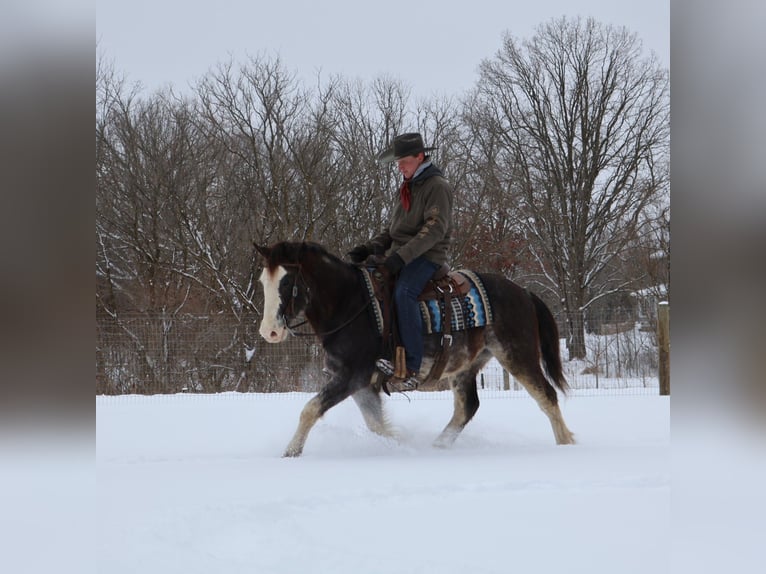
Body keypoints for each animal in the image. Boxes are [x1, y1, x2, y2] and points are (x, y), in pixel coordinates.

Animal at [255, 241, 575, 457]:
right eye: (263, 281)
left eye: (287, 282)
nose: (269, 331)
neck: (350, 304)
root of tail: (523, 292)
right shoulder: (360, 385)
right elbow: (377, 424)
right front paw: (398, 445)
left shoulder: (352, 377)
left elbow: (309, 410)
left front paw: (291, 452)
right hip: (466, 366)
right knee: (467, 407)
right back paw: (437, 446)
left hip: (517, 355)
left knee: (546, 396)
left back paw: (567, 444)